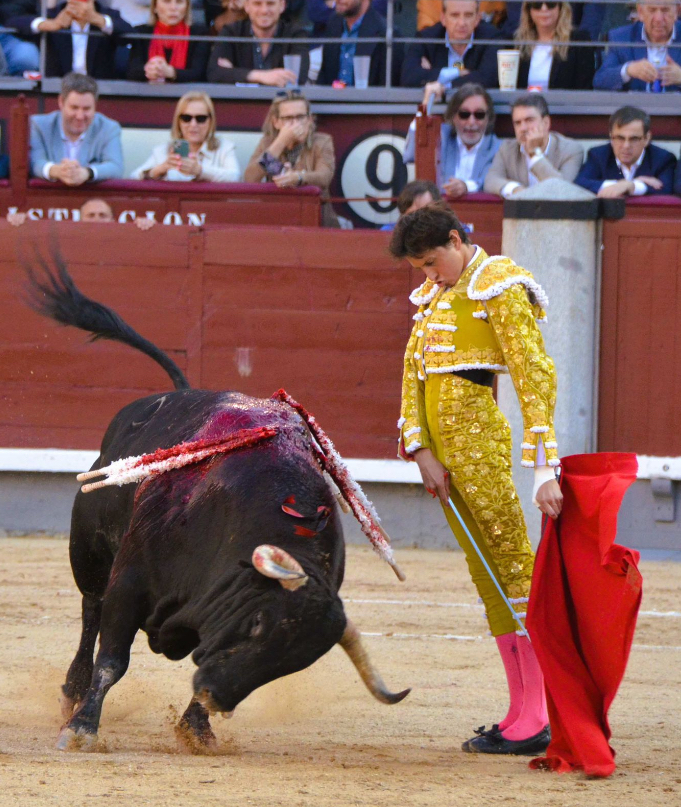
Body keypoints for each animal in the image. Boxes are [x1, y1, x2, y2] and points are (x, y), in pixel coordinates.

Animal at [27, 255, 409, 752]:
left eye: (293, 663)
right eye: (258, 625)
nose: (216, 694)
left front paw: (196, 728)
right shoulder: (129, 581)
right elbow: (112, 660)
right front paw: (81, 729)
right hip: (89, 555)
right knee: (90, 612)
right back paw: (72, 695)